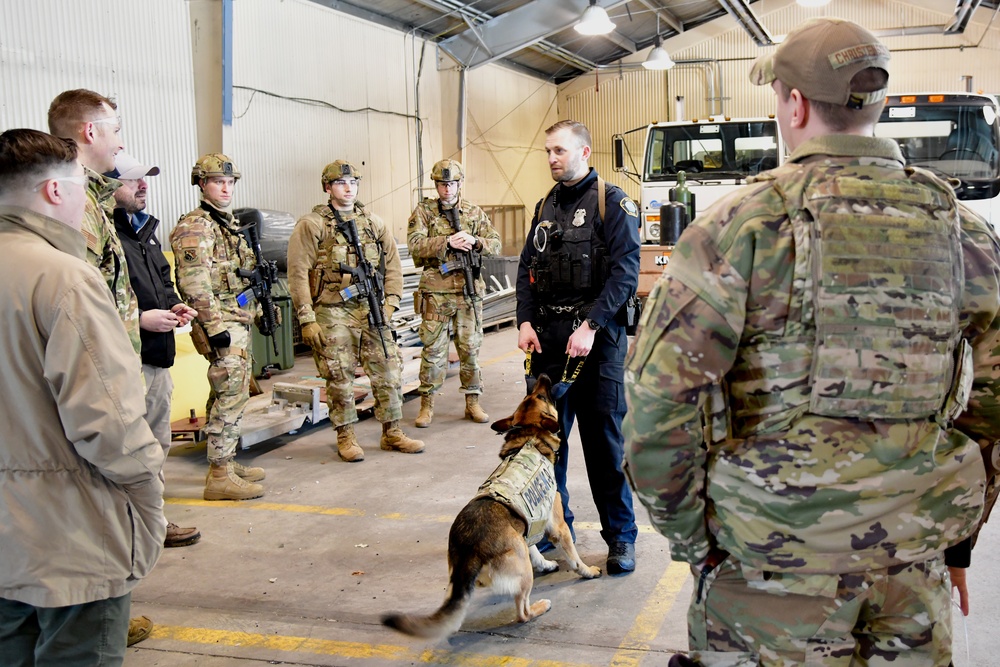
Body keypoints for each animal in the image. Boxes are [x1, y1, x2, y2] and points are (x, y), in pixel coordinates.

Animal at [380, 374, 600, 640]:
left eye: (532, 396)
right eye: (541, 396)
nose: (543, 376)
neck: (529, 437)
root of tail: (470, 551)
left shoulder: (528, 525)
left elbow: (534, 548)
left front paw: (545, 564)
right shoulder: (558, 527)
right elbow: (575, 559)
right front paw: (588, 571)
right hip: (523, 573)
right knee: (522, 612)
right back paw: (539, 607)